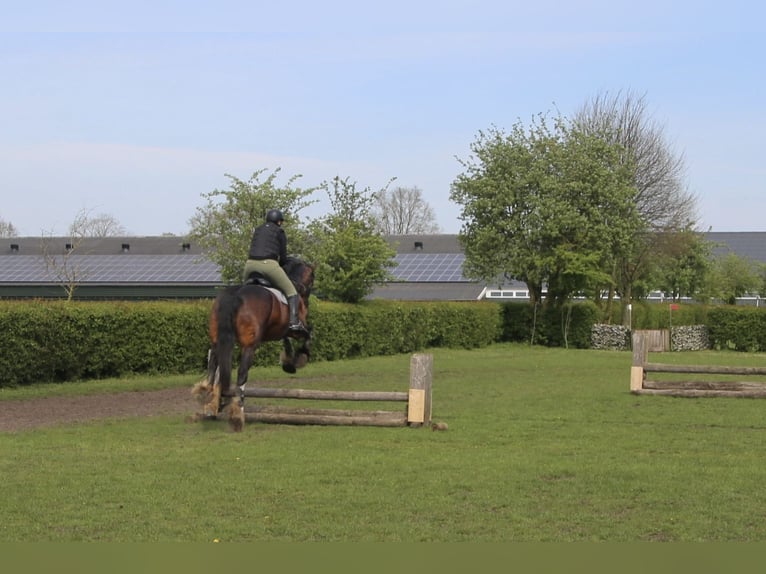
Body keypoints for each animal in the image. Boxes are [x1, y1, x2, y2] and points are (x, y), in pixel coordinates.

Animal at [192, 257, 315, 431]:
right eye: (312, 277)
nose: (307, 301)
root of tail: (235, 295)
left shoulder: (280, 330)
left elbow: (286, 341)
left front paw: (288, 362)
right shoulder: (296, 329)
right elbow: (308, 335)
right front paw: (299, 359)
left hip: (217, 340)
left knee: (213, 365)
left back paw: (207, 397)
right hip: (249, 346)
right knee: (242, 374)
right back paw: (237, 414)